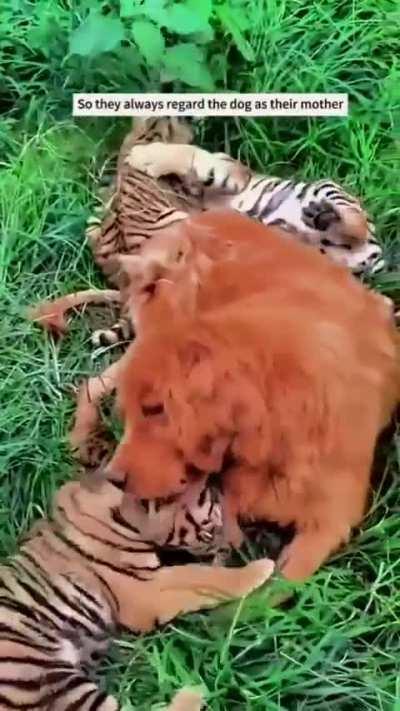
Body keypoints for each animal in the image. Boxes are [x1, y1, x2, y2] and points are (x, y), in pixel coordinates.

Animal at [0, 471, 274, 709]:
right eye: (210, 529)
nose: (239, 545)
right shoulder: (146, 589)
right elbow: (201, 576)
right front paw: (260, 569)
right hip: (42, 680)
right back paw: (196, 688)